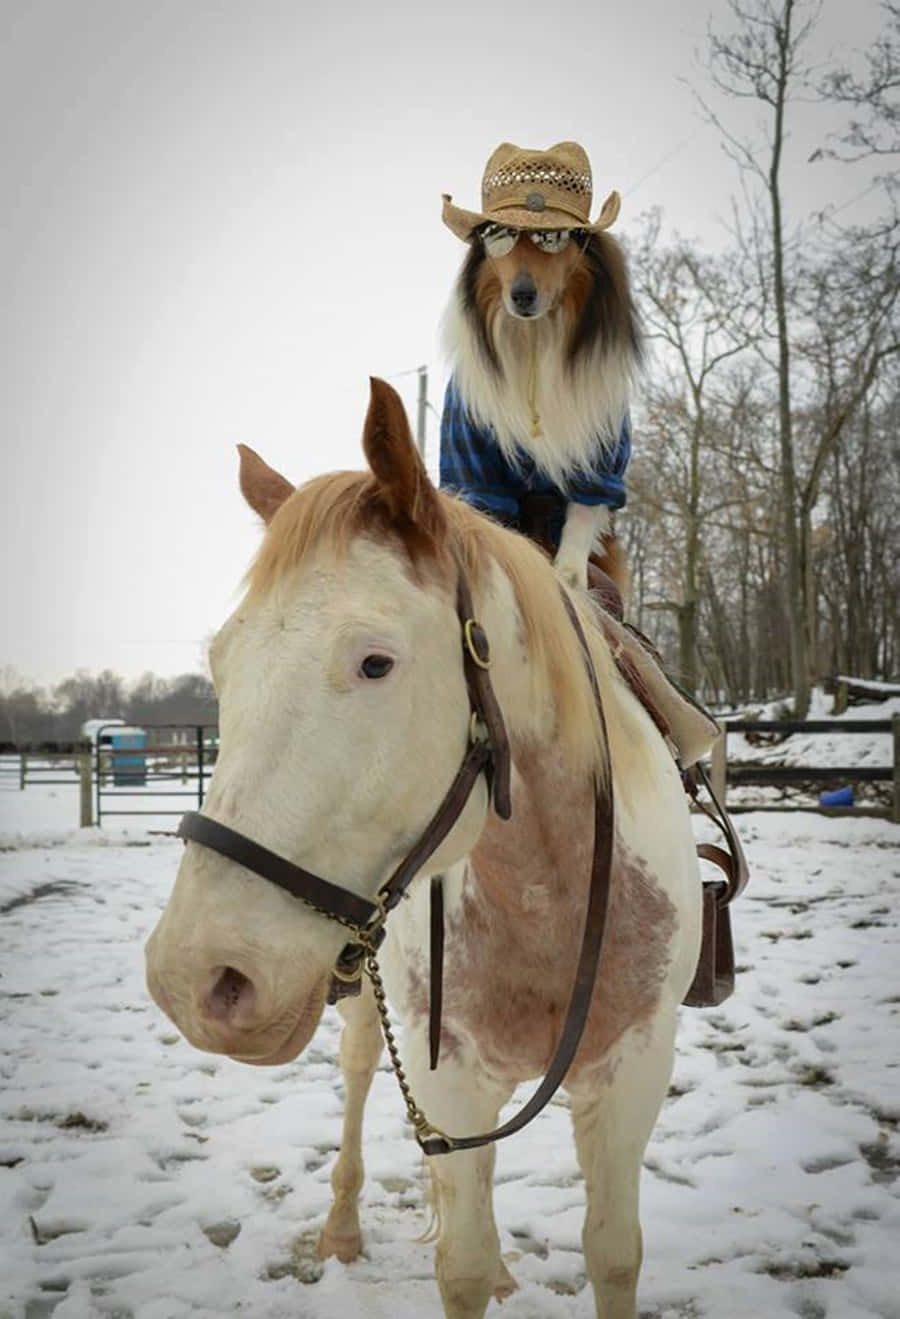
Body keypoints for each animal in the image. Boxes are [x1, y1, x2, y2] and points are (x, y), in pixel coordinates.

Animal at [143, 377, 702, 1313]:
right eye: (222, 664)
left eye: (376, 662)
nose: (195, 979)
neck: (544, 886)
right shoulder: (452, 1071)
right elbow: (463, 1261)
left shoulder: (634, 1071)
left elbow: (613, 1252)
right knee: (361, 1071)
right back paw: (343, 1226)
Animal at [435, 140, 638, 593]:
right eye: (501, 237)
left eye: (552, 238)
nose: (522, 296)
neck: (535, 340)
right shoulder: (473, 460)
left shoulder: (602, 453)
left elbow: (583, 513)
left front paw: (570, 576)